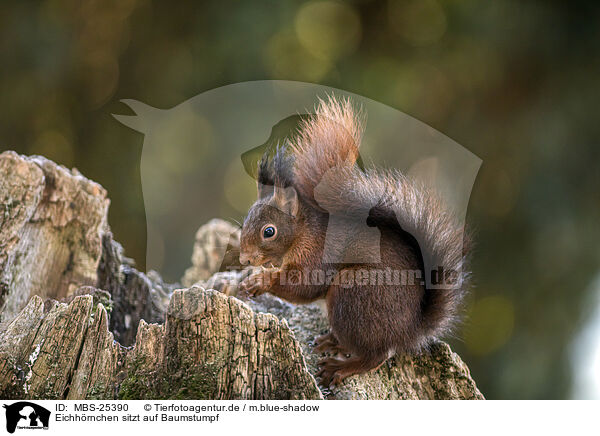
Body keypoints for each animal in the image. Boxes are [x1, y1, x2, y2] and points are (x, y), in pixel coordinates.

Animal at [239, 97, 468, 386]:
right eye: (246, 219)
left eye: (269, 231)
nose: (244, 258)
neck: (304, 234)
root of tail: (410, 331)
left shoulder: (318, 256)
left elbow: (303, 287)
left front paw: (261, 281)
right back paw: (333, 342)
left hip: (354, 293)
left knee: (376, 356)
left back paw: (340, 367)